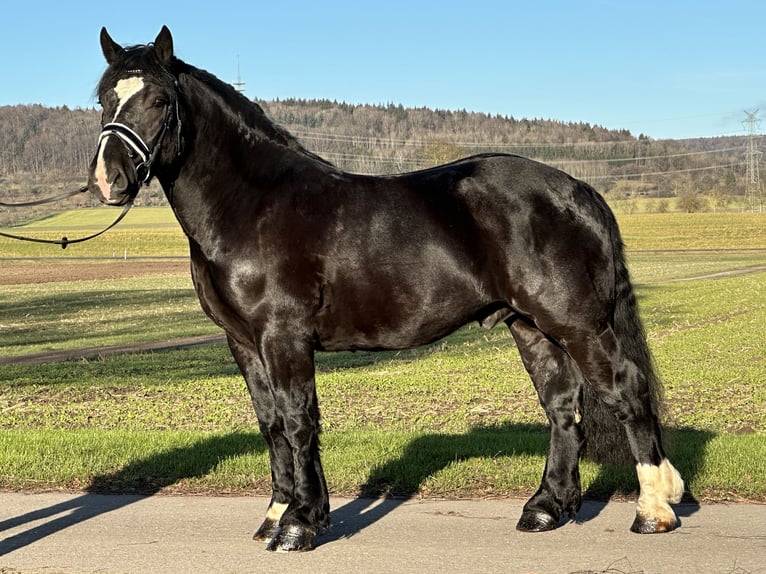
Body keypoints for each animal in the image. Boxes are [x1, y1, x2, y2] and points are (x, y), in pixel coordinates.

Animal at [88, 28, 684, 552]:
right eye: (104, 97)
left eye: (160, 99)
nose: (109, 179)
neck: (252, 205)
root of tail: (578, 190)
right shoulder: (243, 342)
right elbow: (271, 424)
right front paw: (278, 515)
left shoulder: (283, 336)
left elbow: (298, 419)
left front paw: (300, 525)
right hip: (532, 327)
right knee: (562, 406)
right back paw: (545, 508)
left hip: (577, 323)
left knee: (627, 390)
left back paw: (653, 510)